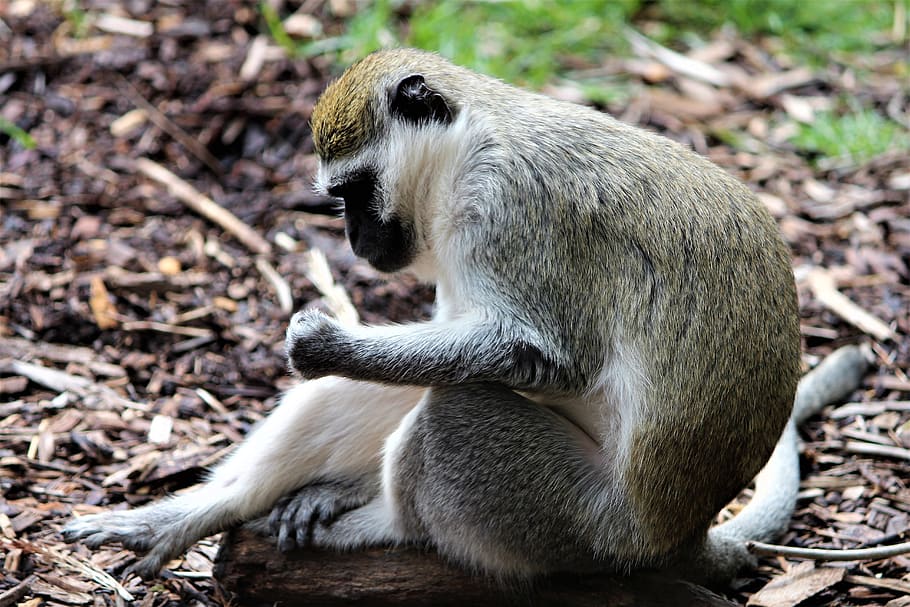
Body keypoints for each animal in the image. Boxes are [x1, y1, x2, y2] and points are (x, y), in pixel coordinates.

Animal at [64, 48, 872, 584]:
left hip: (581, 524)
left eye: (353, 191)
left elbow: (539, 353)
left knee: (455, 412)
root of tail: (676, 533)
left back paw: (378, 523)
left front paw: (320, 340)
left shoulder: (512, 205)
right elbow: (448, 334)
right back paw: (201, 512)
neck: (466, 148)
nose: (354, 243)